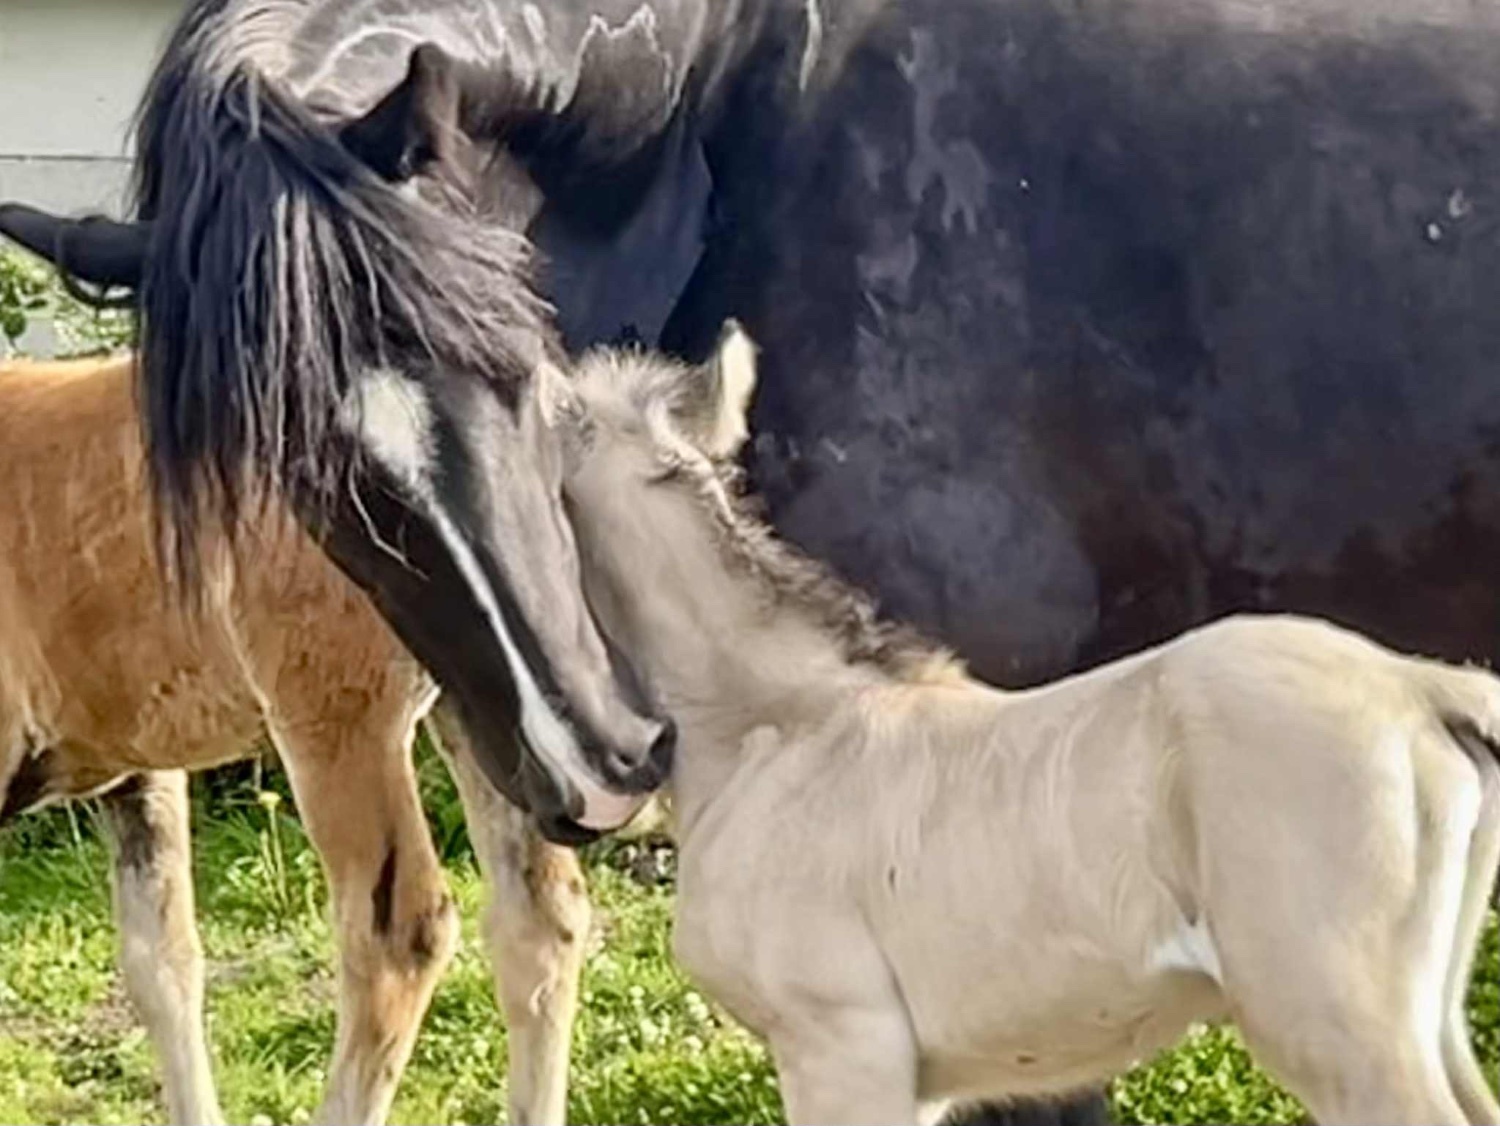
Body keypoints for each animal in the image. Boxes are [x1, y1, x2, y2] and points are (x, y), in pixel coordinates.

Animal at [0, 352, 597, 1125]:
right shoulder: (140, 767)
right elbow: (163, 963)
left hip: (337, 719)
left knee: (401, 935)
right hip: (484, 708)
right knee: (543, 917)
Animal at [556, 323, 1500, 1126]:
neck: (776, 732)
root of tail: (1418, 686)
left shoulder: (839, 1047)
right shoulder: (914, 1080)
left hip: (1341, 1029)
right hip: (1428, 1020)